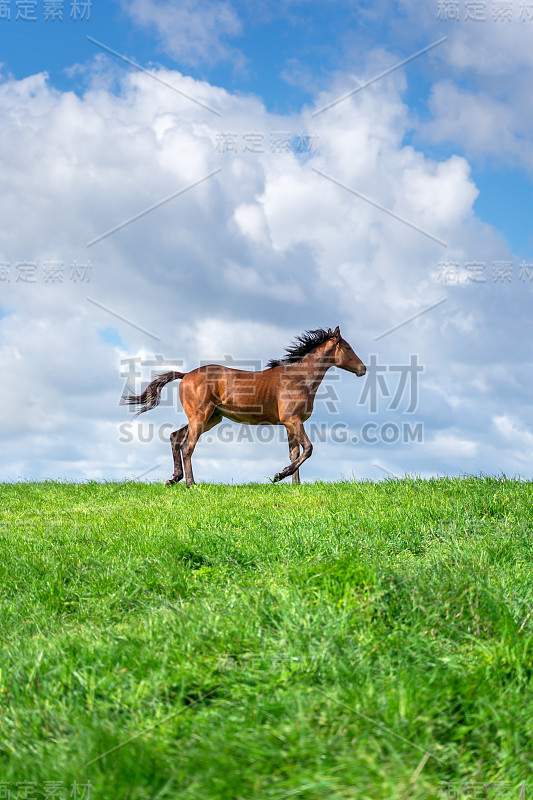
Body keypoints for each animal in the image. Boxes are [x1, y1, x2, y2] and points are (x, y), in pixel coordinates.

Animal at [121, 326, 366, 488]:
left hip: (211, 418)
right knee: (188, 447)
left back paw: (174, 478)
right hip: (200, 418)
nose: (363, 368)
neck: (299, 377)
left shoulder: (291, 424)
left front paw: (294, 484)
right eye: (347, 347)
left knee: (175, 437)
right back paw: (191, 484)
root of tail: (186, 375)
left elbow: (295, 453)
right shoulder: (292, 420)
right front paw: (280, 475)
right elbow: (308, 449)